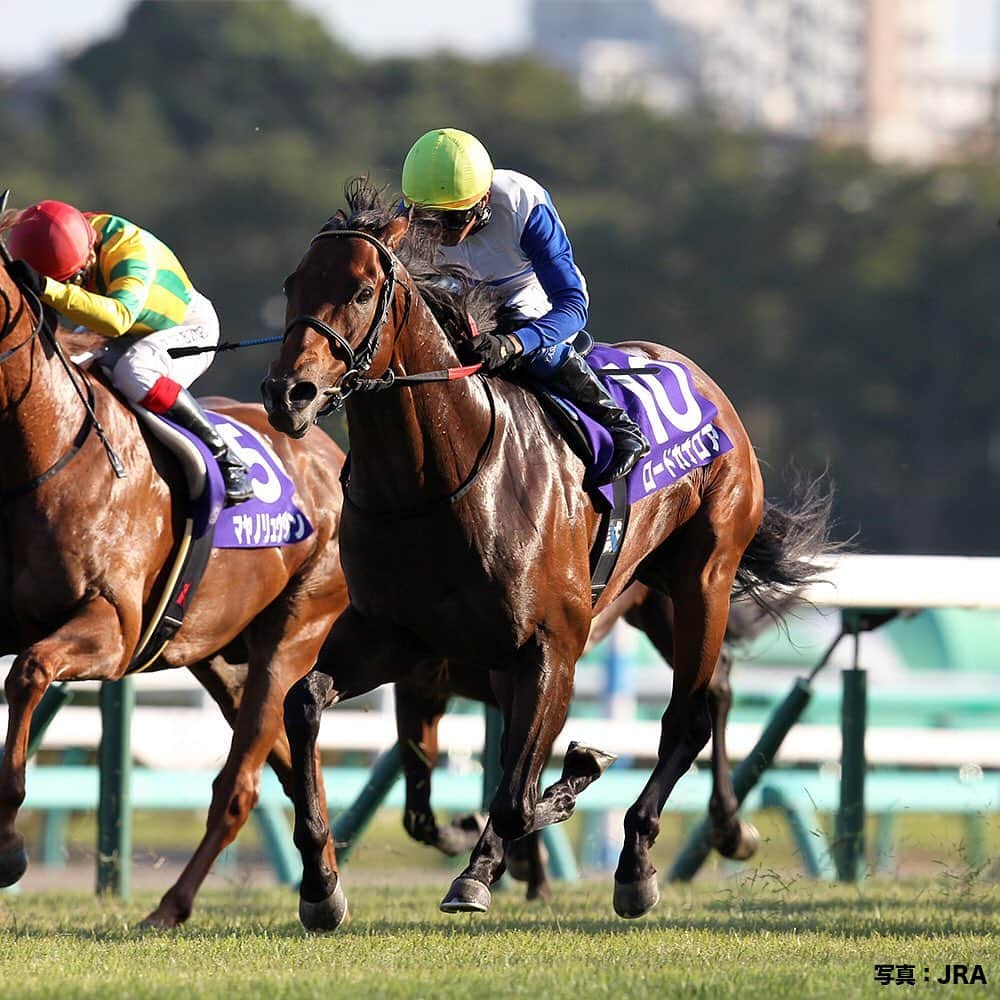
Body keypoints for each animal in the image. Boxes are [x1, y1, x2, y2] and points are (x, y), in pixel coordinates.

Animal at [0, 262, 348, 928]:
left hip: (296, 632)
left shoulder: (114, 629)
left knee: (239, 786)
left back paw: (172, 905)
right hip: (217, 652)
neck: (44, 450)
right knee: (291, 763)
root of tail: (330, 452)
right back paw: (323, 888)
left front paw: (7, 843)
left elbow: (28, 672)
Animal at [261, 182, 831, 929]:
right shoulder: (397, 639)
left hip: (703, 575)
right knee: (703, 699)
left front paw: (567, 784)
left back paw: (640, 860)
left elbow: (515, 796)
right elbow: (306, 706)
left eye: (359, 291)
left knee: (690, 715)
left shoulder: (549, 647)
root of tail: (699, 377)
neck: (434, 485)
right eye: (293, 283)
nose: (288, 394)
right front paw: (322, 885)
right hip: (652, 596)